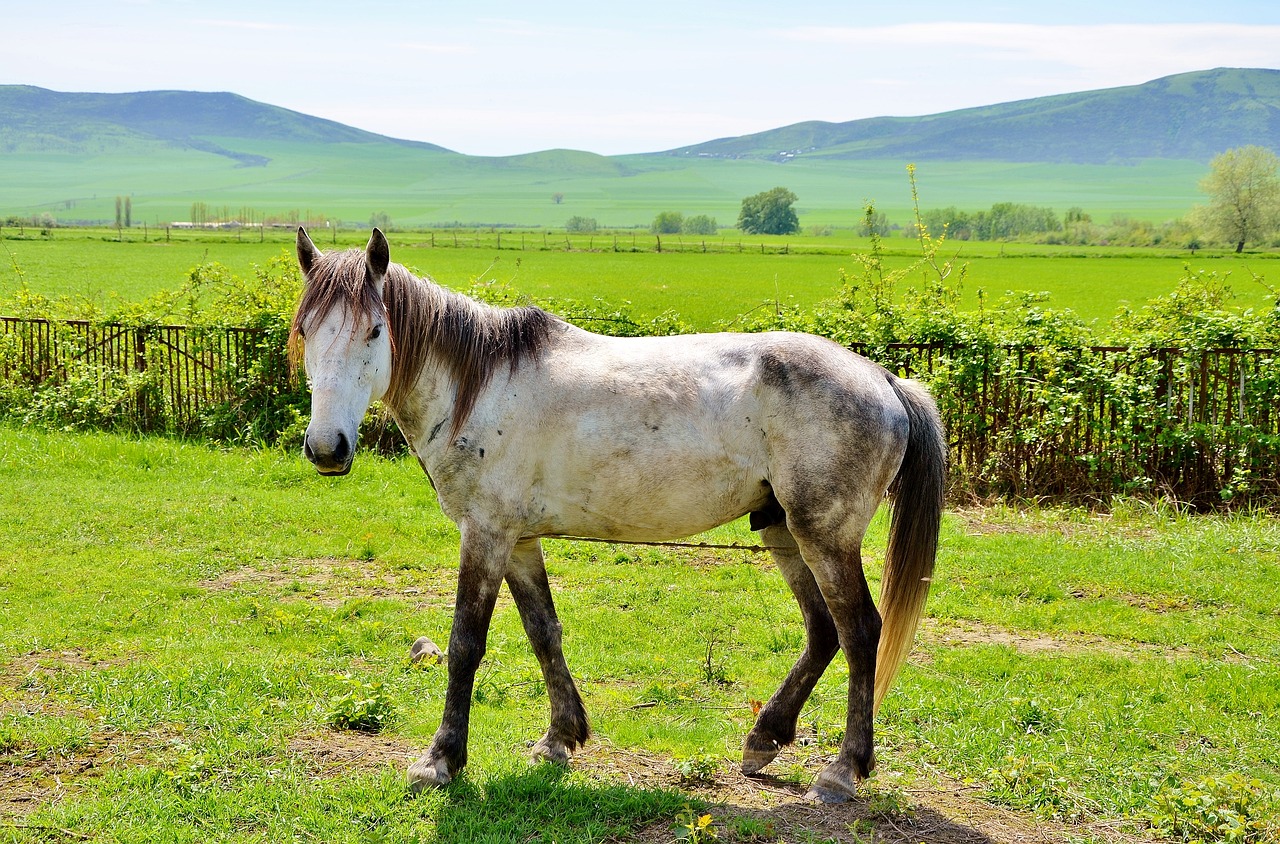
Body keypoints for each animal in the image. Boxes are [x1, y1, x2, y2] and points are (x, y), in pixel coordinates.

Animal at [293, 227, 952, 804]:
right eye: (306, 331)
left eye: (374, 330)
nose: (327, 448)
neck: (479, 387)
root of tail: (885, 380)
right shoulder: (519, 541)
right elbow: (543, 631)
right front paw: (560, 738)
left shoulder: (485, 535)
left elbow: (465, 644)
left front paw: (440, 760)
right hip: (783, 531)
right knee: (822, 630)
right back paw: (764, 739)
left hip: (825, 538)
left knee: (860, 631)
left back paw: (843, 770)